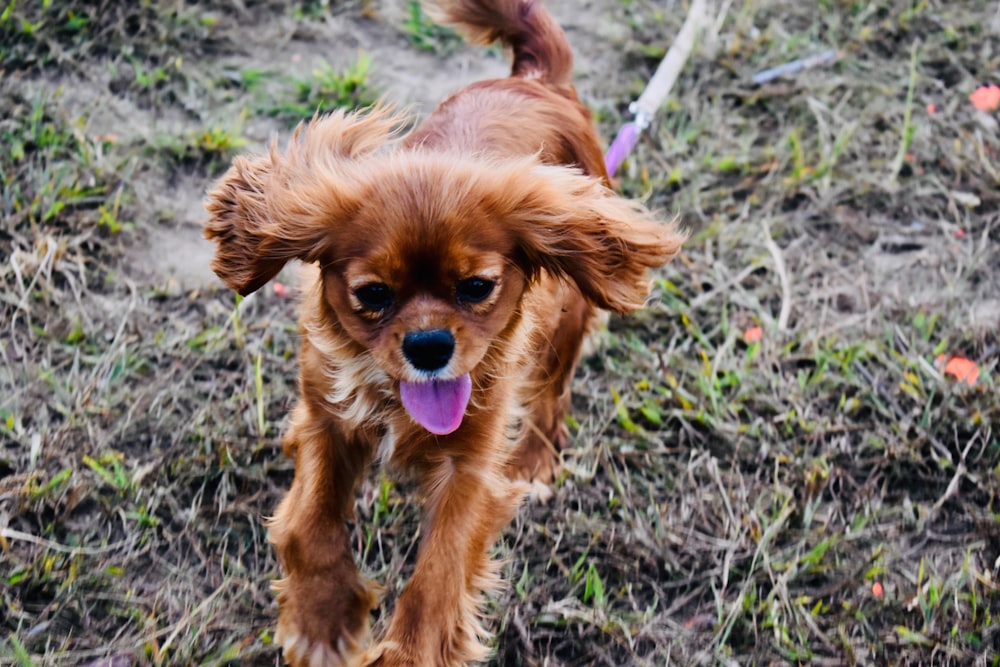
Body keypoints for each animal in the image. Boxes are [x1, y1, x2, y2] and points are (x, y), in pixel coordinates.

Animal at [207, 0, 684, 664]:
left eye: (477, 287)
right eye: (373, 294)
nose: (429, 346)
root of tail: (535, 80)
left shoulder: (471, 465)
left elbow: (439, 571)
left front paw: (412, 652)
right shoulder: (326, 420)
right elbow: (311, 524)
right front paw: (322, 617)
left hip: (568, 314)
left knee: (554, 391)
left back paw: (535, 459)